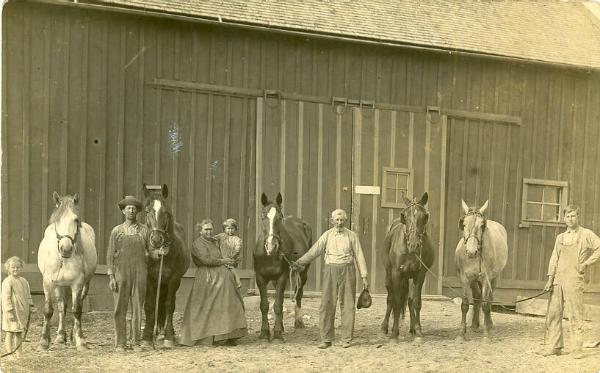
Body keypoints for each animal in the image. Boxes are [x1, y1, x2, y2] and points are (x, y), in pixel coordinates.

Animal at [37, 192, 98, 348]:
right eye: (57, 220)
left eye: (75, 220)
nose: (66, 248)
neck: (63, 260)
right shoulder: (48, 282)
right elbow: (49, 310)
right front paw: (44, 341)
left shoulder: (78, 283)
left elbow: (76, 310)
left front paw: (80, 340)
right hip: (59, 285)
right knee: (61, 307)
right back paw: (60, 336)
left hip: (85, 284)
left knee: (77, 304)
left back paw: (72, 335)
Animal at [140, 185, 190, 348]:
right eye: (147, 211)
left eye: (165, 212)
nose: (156, 240)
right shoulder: (150, 279)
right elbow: (150, 305)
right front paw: (147, 337)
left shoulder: (173, 280)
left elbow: (169, 305)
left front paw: (169, 337)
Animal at [252, 192, 312, 340]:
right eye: (263, 216)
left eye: (280, 217)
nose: (271, 246)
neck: (269, 255)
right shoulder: (260, 278)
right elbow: (265, 305)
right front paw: (264, 332)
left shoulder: (282, 277)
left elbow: (278, 305)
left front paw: (277, 333)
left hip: (303, 272)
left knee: (298, 294)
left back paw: (298, 321)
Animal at [382, 193, 434, 342]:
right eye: (404, 216)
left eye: (425, 216)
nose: (414, 244)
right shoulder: (397, 274)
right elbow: (396, 302)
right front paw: (394, 333)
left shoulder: (420, 274)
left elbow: (415, 301)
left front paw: (418, 330)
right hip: (390, 275)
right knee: (390, 298)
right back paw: (384, 327)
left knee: (409, 300)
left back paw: (412, 329)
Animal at [454, 199, 506, 342]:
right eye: (464, 224)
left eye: (482, 225)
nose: (471, 252)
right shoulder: (465, 278)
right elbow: (465, 305)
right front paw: (461, 333)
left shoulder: (486, 278)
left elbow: (485, 304)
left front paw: (486, 334)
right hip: (473, 280)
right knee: (477, 297)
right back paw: (474, 325)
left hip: (494, 278)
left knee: (489, 299)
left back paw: (489, 324)